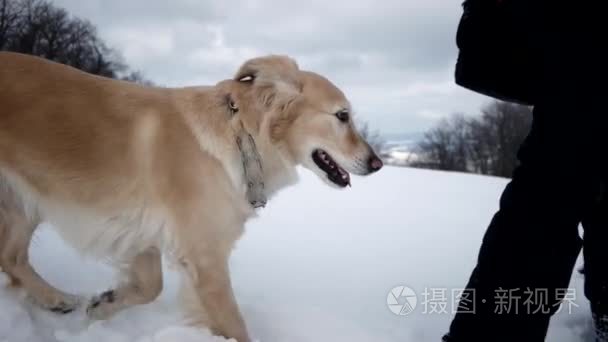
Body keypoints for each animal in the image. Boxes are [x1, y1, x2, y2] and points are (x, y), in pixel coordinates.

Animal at [0, 52, 382, 340]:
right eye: (342, 116)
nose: (377, 163)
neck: (242, 136)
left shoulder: (142, 231)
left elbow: (149, 286)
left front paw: (104, 303)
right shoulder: (206, 257)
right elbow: (233, 324)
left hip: (25, 200)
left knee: (11, 257)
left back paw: (56, 300)